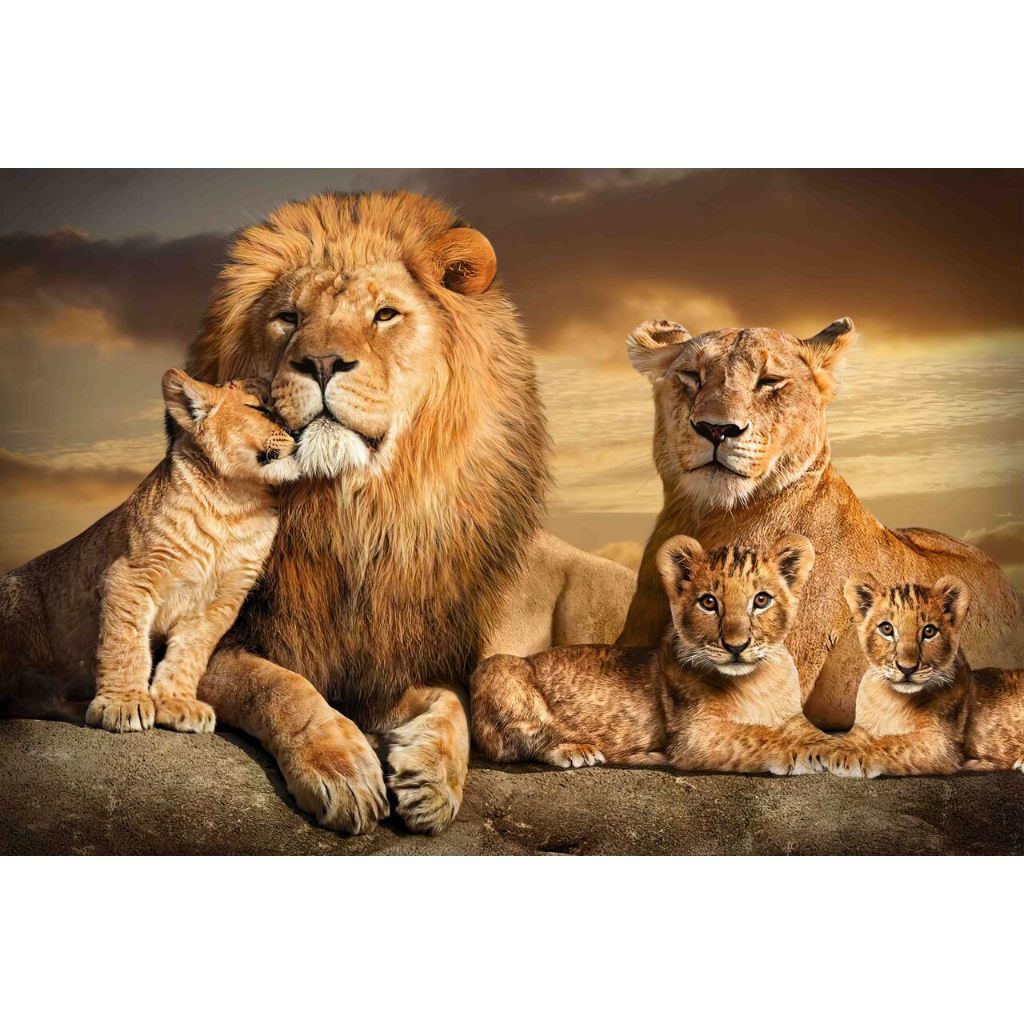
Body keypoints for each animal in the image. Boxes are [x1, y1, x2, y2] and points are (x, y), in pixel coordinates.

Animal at [172, 190, 631, 835]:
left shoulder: (406, 658)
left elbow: (453, 706)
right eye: (288, 318)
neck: (356, 515)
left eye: (385, 315)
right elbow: (281, 687)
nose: (321, 363)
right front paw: (343, 770)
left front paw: (432, 781)